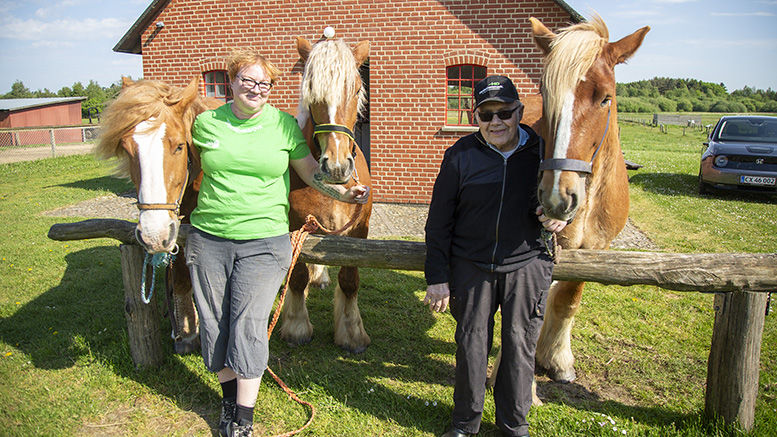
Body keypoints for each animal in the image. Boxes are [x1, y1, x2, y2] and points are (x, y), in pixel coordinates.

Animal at [94, 76, 221, 352]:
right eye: (126, 148)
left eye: (180, 146)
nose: (153, 234)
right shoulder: (179, 233)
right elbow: (182, 279)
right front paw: (187, 332)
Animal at [280, 35, 374, 352]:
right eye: (311, 92)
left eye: (356, 89)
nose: (336, 165)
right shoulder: (294, 227)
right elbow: (296, 277)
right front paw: (296, 326)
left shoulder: (358, 232)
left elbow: (350, 279)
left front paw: (352, 332)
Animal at [492, 16, 648, 392]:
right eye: (547, 96)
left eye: (606, 98)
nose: (556, 196)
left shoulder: (596, 248)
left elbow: (567, 301)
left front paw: (557, 359)